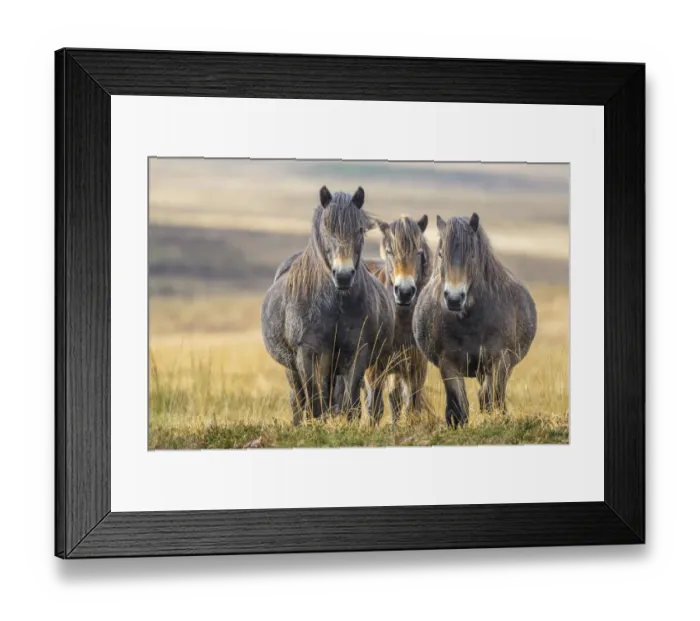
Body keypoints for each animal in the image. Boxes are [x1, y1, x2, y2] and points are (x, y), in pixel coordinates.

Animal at [261, 186, 395, 425]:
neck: (335, 305)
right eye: (327, 229)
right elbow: (314, 402)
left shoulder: (357, 352)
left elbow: (350, 404)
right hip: (294, 367)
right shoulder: (307, 353)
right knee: (299, 400)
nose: (343, 276)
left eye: (360, 229)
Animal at [363, 215, 433, 424]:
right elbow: (374, 408)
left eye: (418, 252)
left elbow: (411, 407)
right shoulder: (374, 370)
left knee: (395, 400)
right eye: (389, 251)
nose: (404, 292)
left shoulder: (416, 370)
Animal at [413, 213, 537, 428]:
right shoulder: (448, 364)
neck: (470, 323)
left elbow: (491, 398)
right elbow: (458, 407)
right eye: (441, 254)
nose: (454, 299)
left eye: (471, 255)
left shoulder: (500, 361)